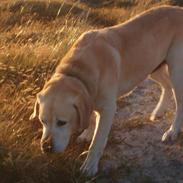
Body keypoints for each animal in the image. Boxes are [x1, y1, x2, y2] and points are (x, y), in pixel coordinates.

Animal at [29, 6, 183, 176]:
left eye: (62, 122)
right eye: (42, 121)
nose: (46, 147)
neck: (77, 71)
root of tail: (179, 9)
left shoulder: (108, 109)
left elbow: (97, 142)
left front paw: (89, 166)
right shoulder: (89, 99)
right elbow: (90, 117)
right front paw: (87, 133)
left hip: (176, 70)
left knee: (179, 102)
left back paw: (172, 131)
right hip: (151, 66)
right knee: (167, 86)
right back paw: (159, 111)